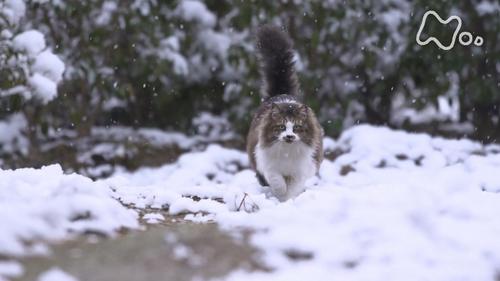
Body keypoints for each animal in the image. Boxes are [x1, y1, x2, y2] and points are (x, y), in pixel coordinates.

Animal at [246, 25, 324, 200]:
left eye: (297, 128)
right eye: (281, 127)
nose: (289, 136)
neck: (288, 152)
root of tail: (281, 92)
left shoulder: (301, 170)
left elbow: (293, 187)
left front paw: (287, 199)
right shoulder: (267, 163)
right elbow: (277, 180)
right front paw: (280, 193)